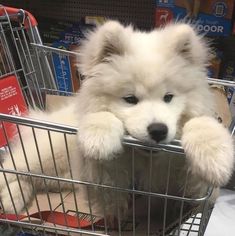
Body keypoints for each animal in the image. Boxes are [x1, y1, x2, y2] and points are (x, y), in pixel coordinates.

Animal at [0, 22, 233, 216]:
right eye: (130, 99)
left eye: (168, 97)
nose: (158, 130)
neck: (145, 159)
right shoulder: (98, 178)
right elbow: (102, 123)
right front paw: (99, 138)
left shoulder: (195, 194)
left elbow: (200, 125)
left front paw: (214, 156)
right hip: (48, 152)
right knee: (13, 165)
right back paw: (10, 199)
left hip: (60, 176)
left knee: (34, 179)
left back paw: (13, 200)